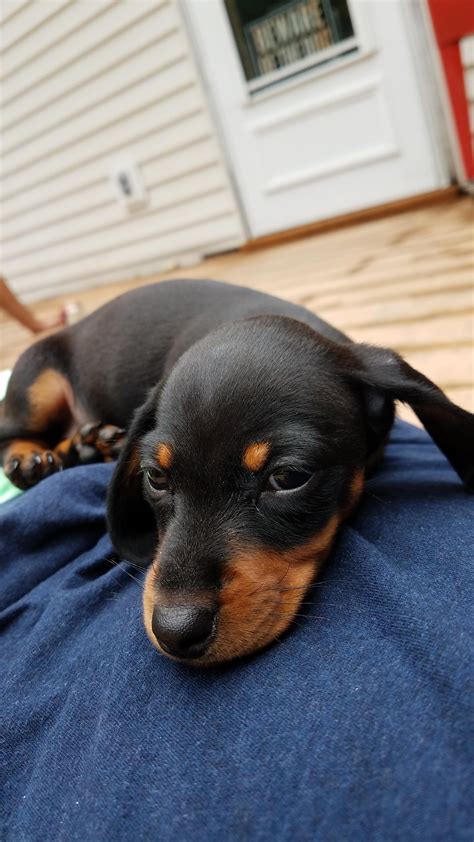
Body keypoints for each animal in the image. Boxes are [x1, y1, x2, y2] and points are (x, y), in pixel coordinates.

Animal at [0, 282, 474, 664]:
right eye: (156, 478)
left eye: (288, 477)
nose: (175, 631)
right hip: (37, 384)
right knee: (12, 432)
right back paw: (36, 459)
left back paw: (89, 442)